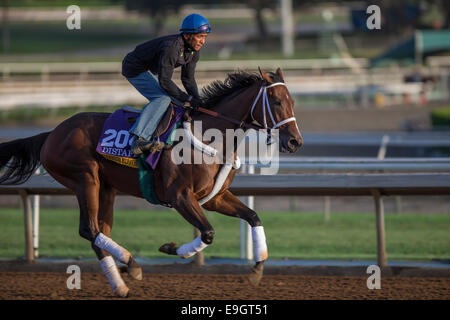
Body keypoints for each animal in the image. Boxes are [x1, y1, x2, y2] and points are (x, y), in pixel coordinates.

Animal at [0, 67, 302, 298]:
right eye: (276, 101)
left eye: (293, 102)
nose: (295, 141)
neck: (210, 137)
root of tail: (51, 133)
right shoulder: (180, 196)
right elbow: (207, 233)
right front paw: (172, 249)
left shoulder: (215, 197)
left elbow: (252, 216)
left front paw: (257, 268)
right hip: (85, 180)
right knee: (89, 229)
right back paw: (129, 265)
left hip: (106, 188)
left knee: (100, 231)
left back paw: (121, 280)